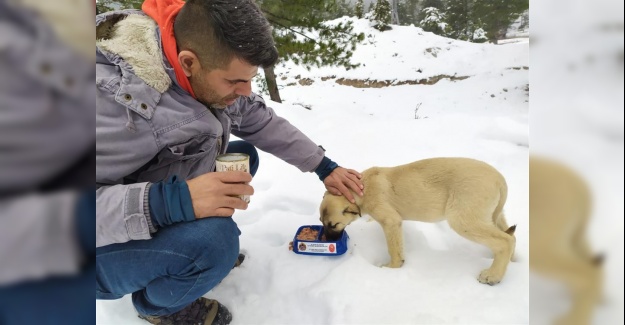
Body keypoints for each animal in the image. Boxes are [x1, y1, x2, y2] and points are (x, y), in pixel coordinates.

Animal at [320, 157, 516, 284]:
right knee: (511, 236)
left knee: (505, 240)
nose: (327, 240)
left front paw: (392, 268)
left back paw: (493, 276)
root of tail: (500, 180)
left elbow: (394, 249)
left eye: (334, 225)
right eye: (321, 221)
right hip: (493, 215)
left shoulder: (390, 221)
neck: (362, 188)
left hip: (463, 219)